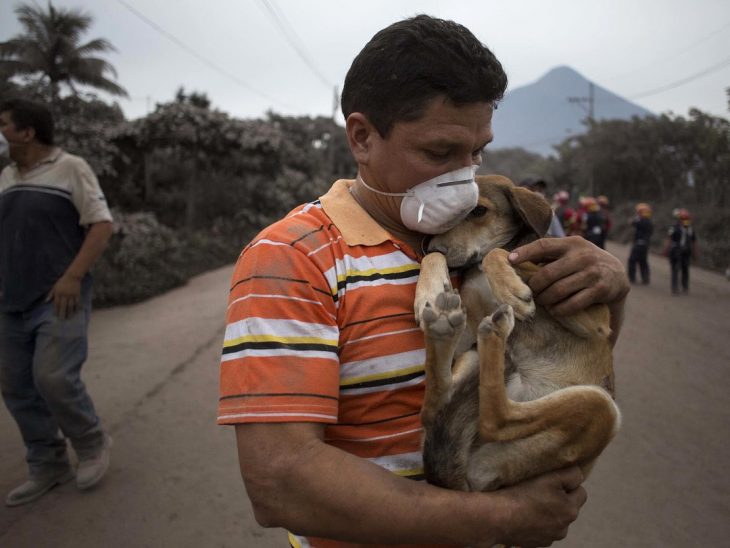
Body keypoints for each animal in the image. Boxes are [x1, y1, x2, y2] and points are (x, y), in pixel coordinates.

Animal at [412, 174, 616, 492]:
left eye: (478, 211)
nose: (432, 246)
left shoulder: (593, 320)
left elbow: (503, 253)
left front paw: (510, 287)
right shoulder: (468, 330)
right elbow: (442, 262)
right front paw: (430, 289)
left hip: (601, 408)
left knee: (497, 420)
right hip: (473, 358)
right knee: (440, 406)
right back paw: (449, 330)